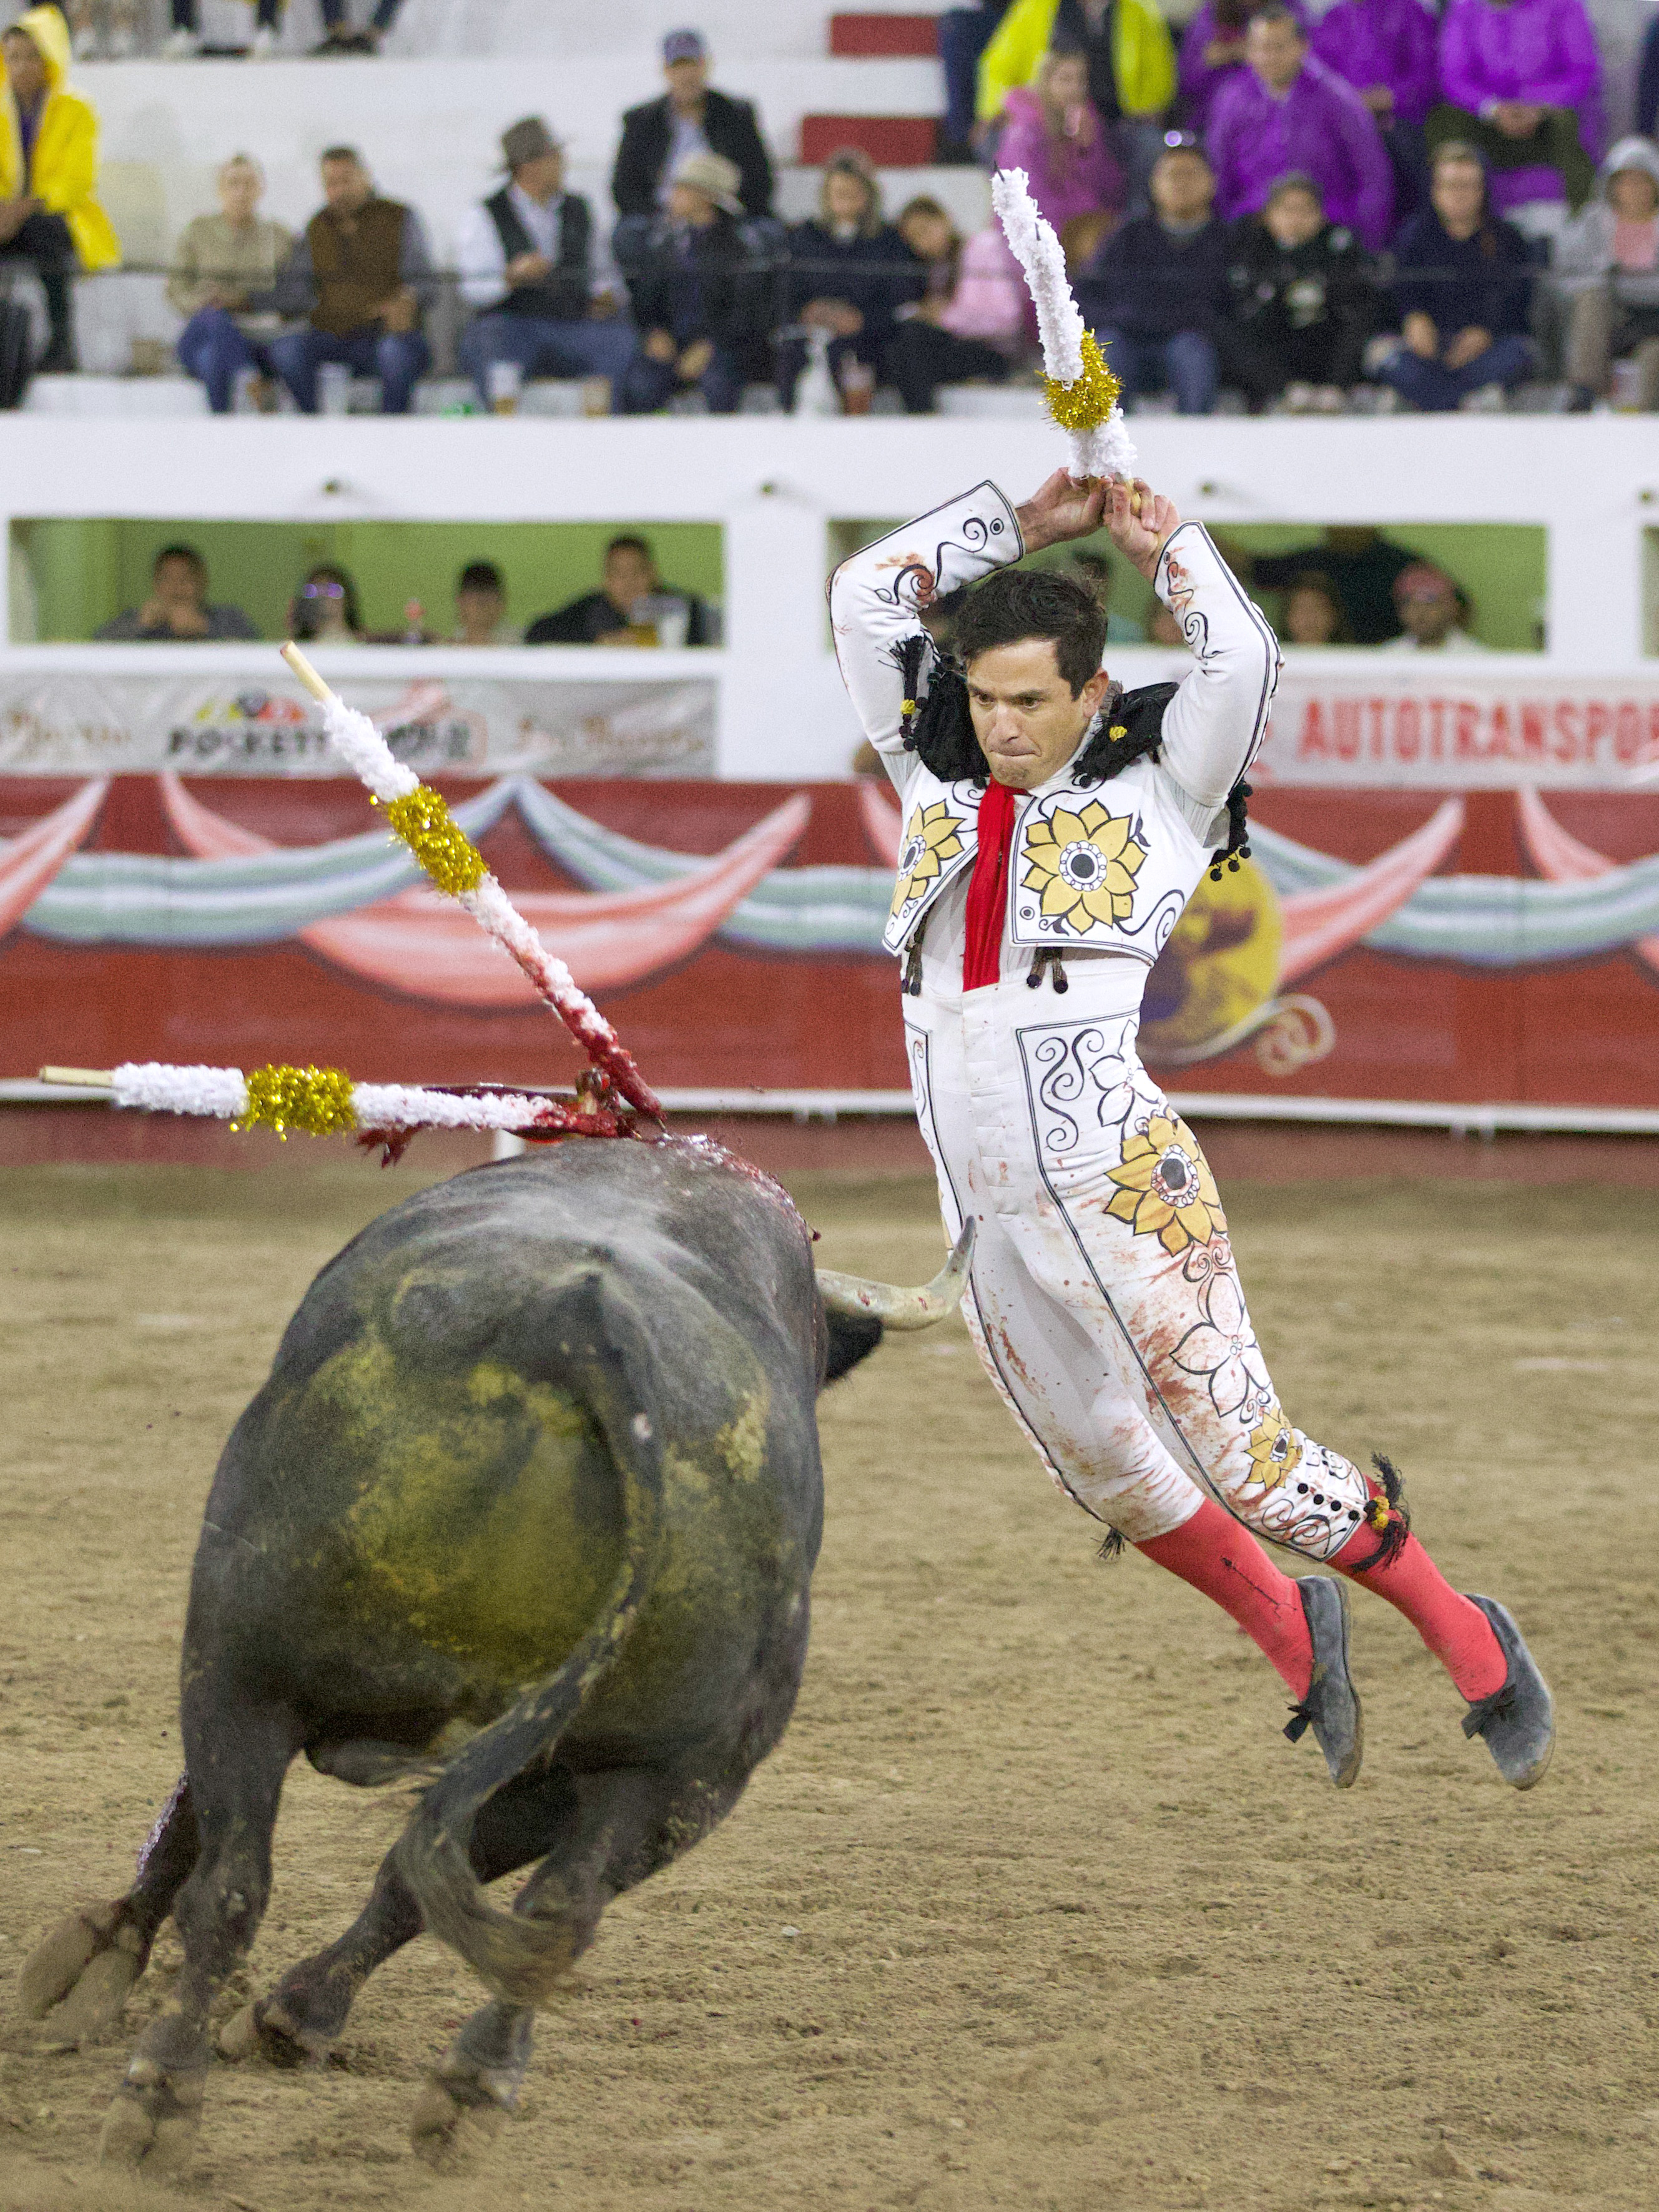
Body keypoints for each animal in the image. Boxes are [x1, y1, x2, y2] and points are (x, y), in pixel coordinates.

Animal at [18, 1136, 969, 2169]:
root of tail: (579, 1323)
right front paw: (285, 2014)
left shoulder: (235, 1662)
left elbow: (198, 1824)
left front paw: (96, 1963)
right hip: (682, 1771)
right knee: (557, 1906)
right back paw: (464, 2085)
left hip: (244, 1660)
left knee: (233, 1878)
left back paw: (162, 2095)